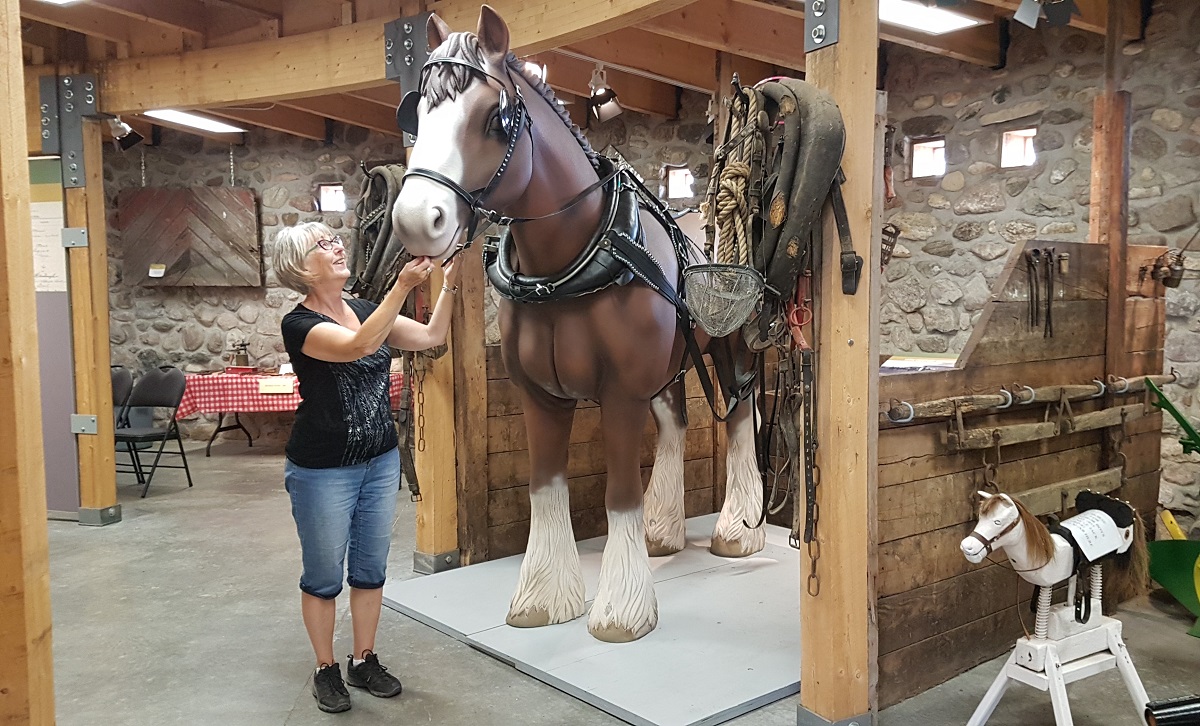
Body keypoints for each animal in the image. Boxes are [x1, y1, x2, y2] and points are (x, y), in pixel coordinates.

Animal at [398, 7, 763, 638]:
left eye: (495, 118)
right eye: (418, 113)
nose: (417, 219)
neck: (568, 262)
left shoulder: (619, 393)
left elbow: (619, 493)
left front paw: (622, 610)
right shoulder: (540, 395)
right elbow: (545, 488)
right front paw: (543, 599)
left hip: (728, 348)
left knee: (740, 419)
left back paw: (737, 531)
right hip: (670, 365)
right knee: (676, 426)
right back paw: (663, 533)